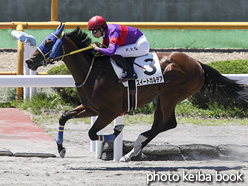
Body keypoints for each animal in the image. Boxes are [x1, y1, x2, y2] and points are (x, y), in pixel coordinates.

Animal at [25, 23, 246, 161]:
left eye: (48, 42)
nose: (29, 61)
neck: (93, 70)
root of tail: (198, 64)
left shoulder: (110, 111)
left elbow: (93, 132)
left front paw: (116, 132)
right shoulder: (90, 108)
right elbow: (64, 117)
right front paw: (61, 149)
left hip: (170, 95)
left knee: (167, 123)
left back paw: (134, 145)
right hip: (162, 98)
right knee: (160, 124)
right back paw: (130, 153)